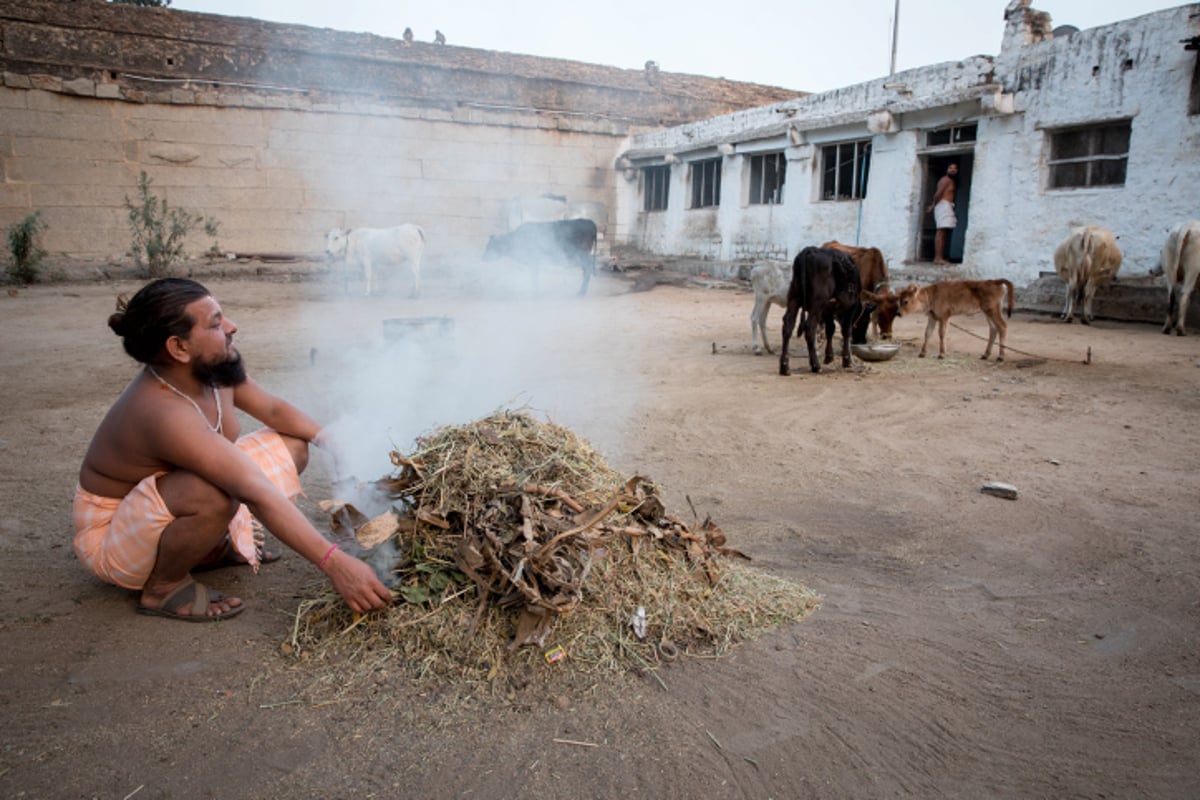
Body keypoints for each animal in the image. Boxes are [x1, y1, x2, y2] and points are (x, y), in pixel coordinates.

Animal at [777, 247, 864, 376]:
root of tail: (810, 250)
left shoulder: (828, 309)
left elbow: (830, 329)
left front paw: (829, 356)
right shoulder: (851, 306)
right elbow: (846, 331)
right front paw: (847, 360)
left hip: (794, 297)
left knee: (788, 325)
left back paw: (785, 367)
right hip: (817, 303)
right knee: (810, 327)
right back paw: (816, 366)